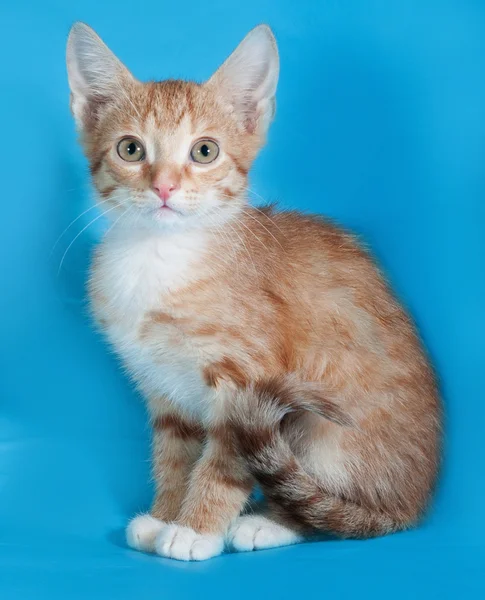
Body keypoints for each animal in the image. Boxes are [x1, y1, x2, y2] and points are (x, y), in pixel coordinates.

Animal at [66, 21, 440, 560]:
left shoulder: (247, 380)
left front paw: (196, 529)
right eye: (130, 149)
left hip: (321, 428)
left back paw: (267, 524)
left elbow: (225, 460)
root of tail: (416, 502)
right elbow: (174, 454)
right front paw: (165, 515)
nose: (164, 187)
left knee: (333, 507)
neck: (161, 257)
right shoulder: (163, 387)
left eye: (204, 151)